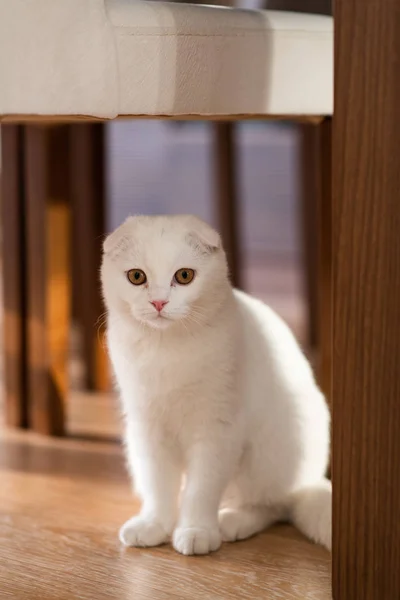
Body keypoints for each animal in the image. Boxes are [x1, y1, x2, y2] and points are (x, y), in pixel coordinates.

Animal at [101, 213, 332, 556]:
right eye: (136, 276)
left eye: (184, 276)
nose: (158, 302)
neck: (167, 351)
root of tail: (309, 481)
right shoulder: (149, 428)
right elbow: (159, 485)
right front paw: (155, 524)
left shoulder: (217, 429)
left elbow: (202, 488)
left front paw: (196, 530)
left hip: (267, 454)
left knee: (274, 505)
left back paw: (231, 521)